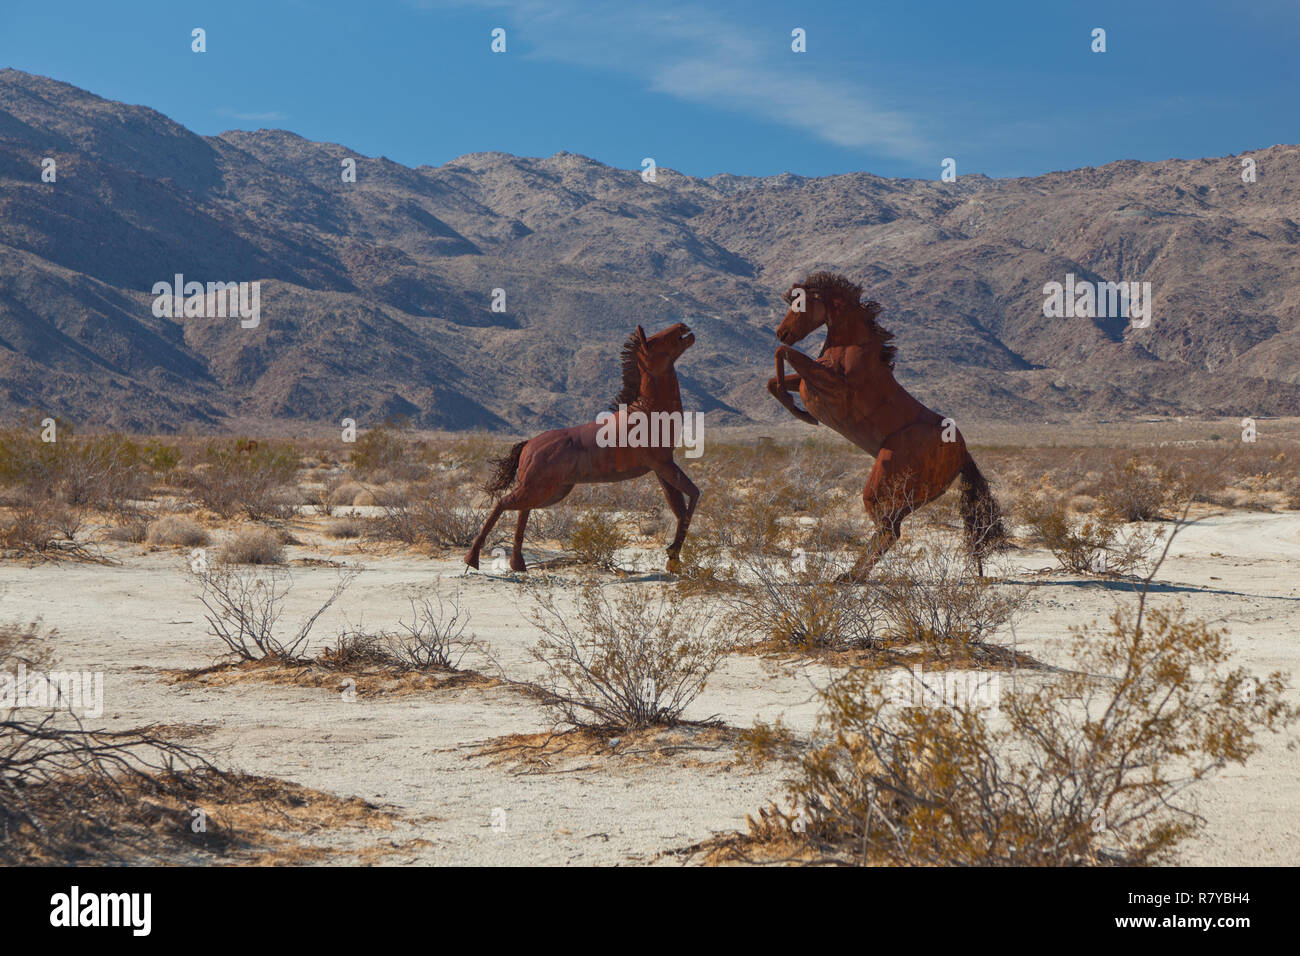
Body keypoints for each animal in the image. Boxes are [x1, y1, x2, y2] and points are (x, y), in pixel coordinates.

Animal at [465, 323, 700, 574]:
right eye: (655, 341)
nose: (683, 327)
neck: (648, 411)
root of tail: (528, 446)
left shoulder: (662, 468)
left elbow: (681, 509)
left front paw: (673, 559)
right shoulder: (663, 465)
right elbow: (693, 497)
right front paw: (672, 554)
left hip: (552, 491)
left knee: (522, 510)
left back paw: (517, 564)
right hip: (539, 488)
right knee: (503, 503)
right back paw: (472, 558)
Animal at [767, 272, 1006, 578]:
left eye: (800, 304)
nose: (781, 332)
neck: (851, 348)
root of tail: (963, 453)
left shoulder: (834, 387)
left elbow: (782, 354)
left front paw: (801, 413)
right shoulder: (811, 381)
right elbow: (773, 379)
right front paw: (798, 410)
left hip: (884, 487)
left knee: (889, 530)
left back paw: (851, 576)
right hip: (911, 496)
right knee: (889, 530)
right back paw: (851, 576)